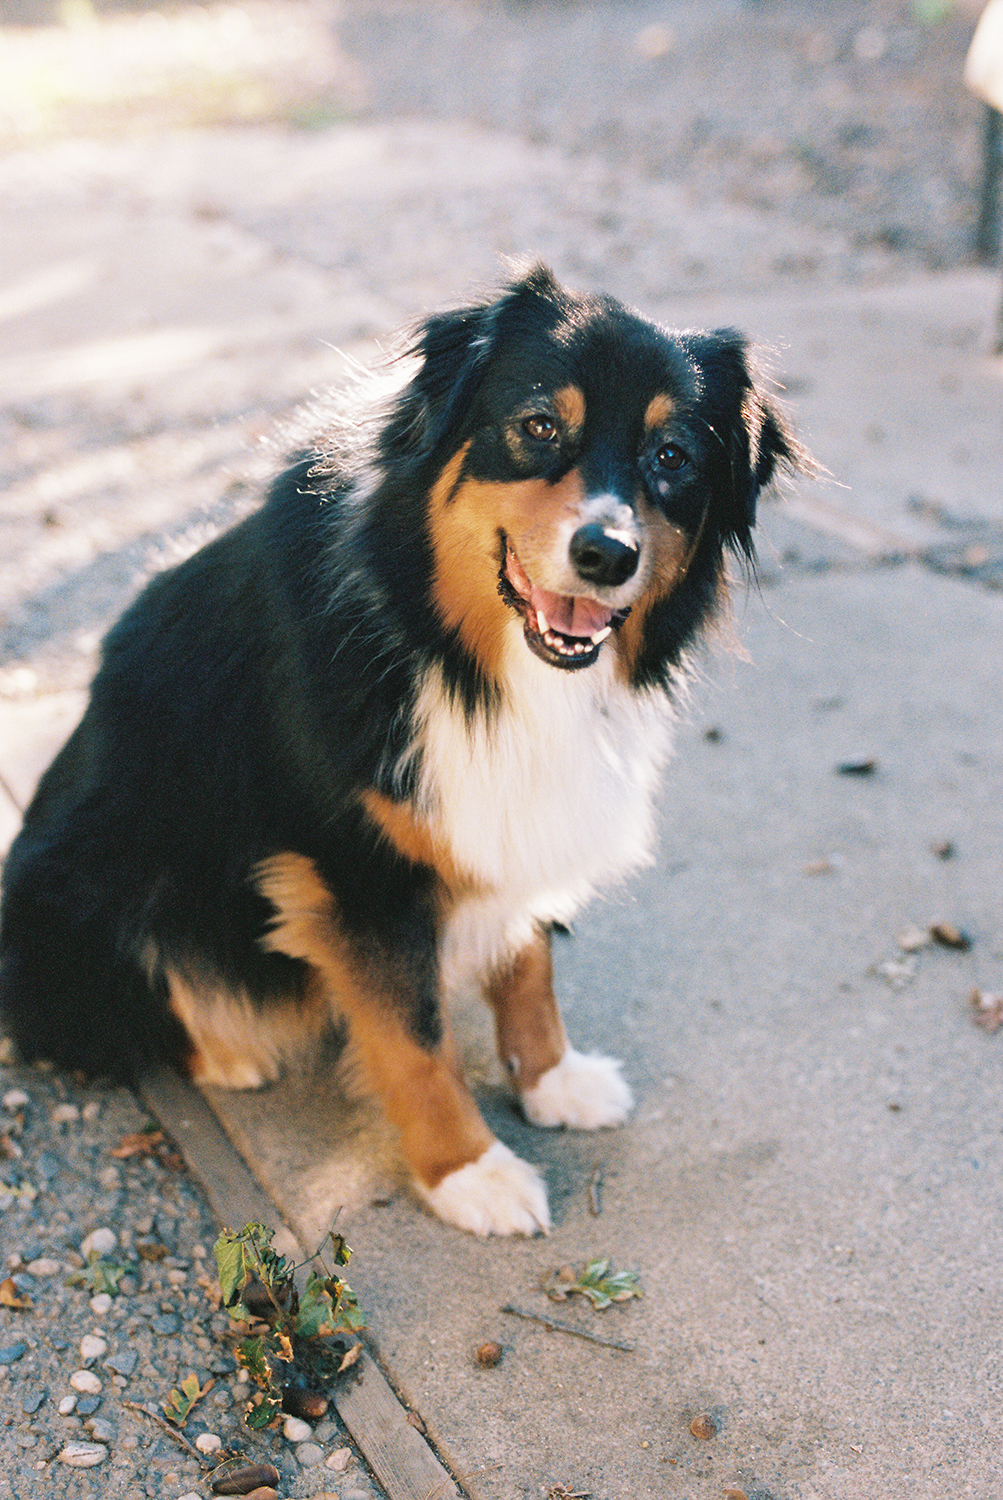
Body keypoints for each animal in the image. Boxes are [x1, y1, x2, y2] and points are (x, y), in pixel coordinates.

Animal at [0, 264, 797, 1236]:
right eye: (538, 426)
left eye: (673, 457)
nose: (606, 553)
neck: (457, 649)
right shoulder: (352, 870)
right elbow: (415, 1038)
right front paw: (468, 1173)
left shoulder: (506, 816)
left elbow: (529, 961)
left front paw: (551, 1081)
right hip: (89, 889)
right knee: (103, 1018)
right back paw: (228, 1052)